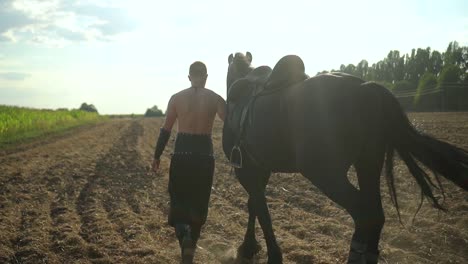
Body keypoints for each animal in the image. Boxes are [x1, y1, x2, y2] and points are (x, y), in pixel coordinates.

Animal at [221, 52, 468, 264]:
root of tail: (365, 88)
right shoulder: (259, 170)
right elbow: (254, 205)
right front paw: (250, 247)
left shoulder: (247, 170)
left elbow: (260, 209)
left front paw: (262, 251)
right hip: (368, 165)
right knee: (376, 215)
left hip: (327, 175)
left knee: (363, 214)